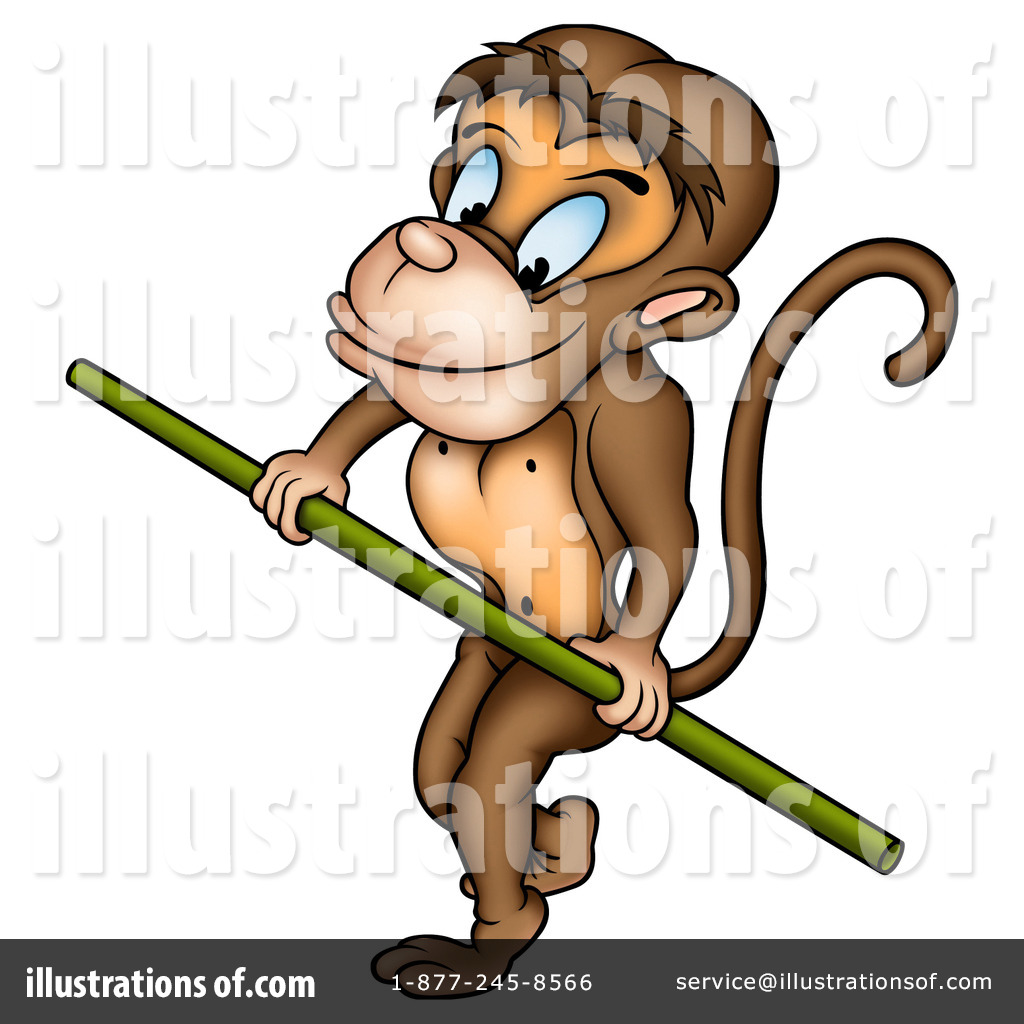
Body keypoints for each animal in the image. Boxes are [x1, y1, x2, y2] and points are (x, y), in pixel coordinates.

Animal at [250, 25, 956, 996]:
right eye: (471, 194)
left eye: (550, 258)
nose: (426, 246)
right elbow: (389, 398)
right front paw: (306, 477)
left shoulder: (638, 421)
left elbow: (668, 533)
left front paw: (638, 667)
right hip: (481, 650)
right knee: (440, 771)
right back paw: (560, 849)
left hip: (557, 687)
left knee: (487, 773)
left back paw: (505, 922)